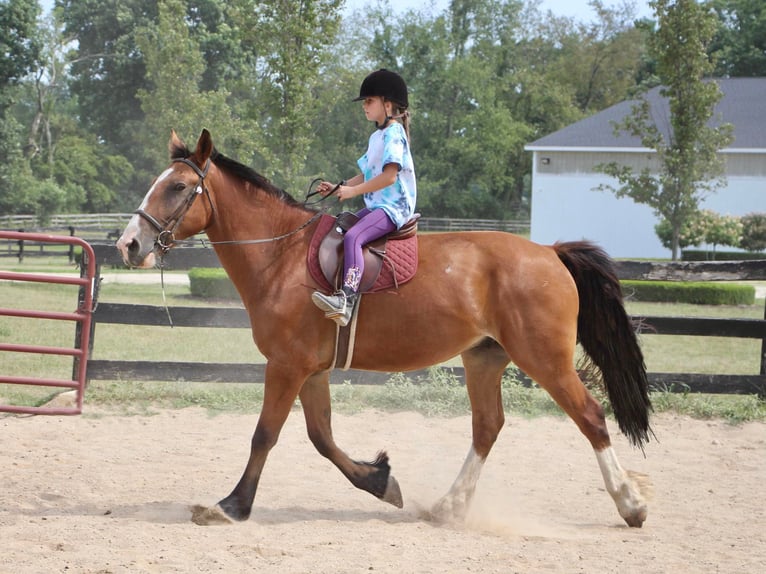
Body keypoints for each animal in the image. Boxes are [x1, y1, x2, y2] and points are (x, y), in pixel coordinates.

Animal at [114, 128, 656, 528]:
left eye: (177, 187)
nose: (129, 245)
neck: (281, 256)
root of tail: (549, 252)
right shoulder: (310, 370)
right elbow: (321, 437)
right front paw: (380, 480)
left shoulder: (286, 366)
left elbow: (265, 434)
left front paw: (232, 506)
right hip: (484, 357)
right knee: (487, 427)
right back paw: (449, 507)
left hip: (544, 359)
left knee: (591, 417)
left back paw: (630, 504)